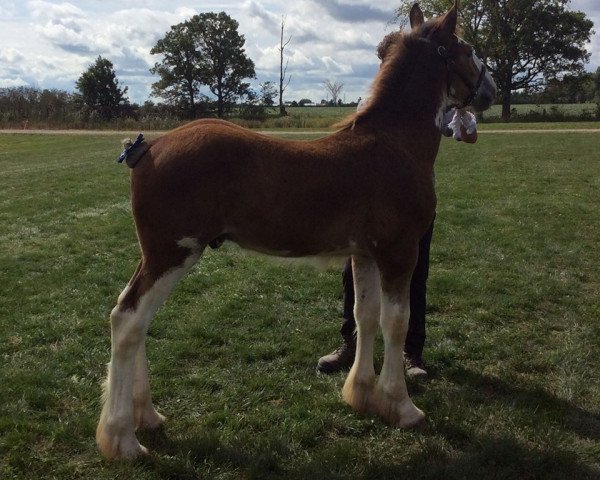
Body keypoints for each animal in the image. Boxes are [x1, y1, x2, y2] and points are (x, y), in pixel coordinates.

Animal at [95, 1, 496, 460]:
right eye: (466, 48)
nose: (492, 88)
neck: (394, 144)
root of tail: (148, 148)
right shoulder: (399, 251)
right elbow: (396, 321)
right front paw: (401, 406)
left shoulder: (364, 254)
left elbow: (364, 316)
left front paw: (361, 394)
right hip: (172, 254)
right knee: (128, 320)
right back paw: (124, 438)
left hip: (160, 256)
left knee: (135, 318)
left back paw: (147, 417)